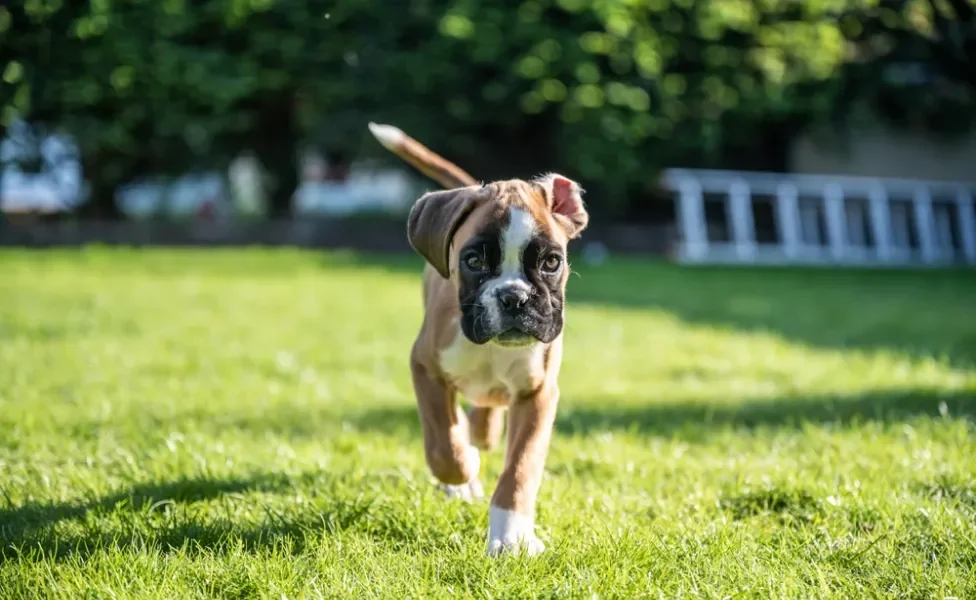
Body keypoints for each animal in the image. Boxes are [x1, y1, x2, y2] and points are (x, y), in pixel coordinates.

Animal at [366, 123, 588, 556]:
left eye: (551, 262)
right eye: (473, 261)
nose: (514, 297)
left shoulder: (538, 395)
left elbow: (520, 469)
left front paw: (512, 536)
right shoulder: (425, 368)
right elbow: (445, 448)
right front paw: (463, 474)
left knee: (486, 417)